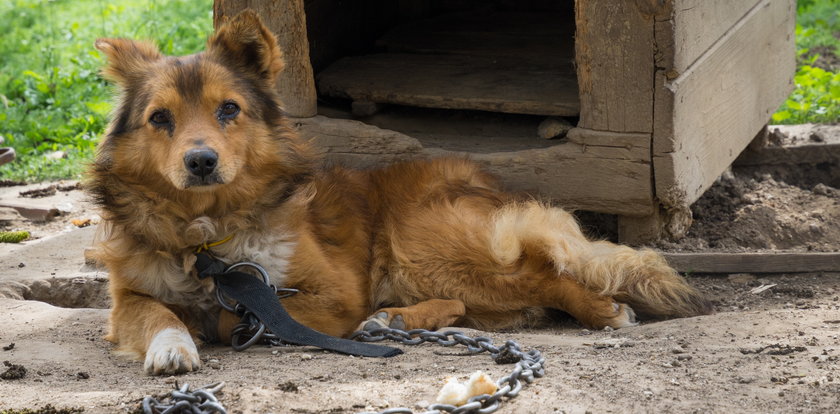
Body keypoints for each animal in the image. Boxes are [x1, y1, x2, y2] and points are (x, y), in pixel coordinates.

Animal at [88, 10, 712, 376]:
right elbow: (158, 312)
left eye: (228, 110)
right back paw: (391, 321)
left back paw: (602, 310)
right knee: (473, 305)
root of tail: (483, 178)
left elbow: (228, 316)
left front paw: (214, 323)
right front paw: (172, 344)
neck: (207, 234)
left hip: (428, 248)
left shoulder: (335, 293)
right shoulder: (127, 298)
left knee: (543, 275)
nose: (200, 161)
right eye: (160, 118)